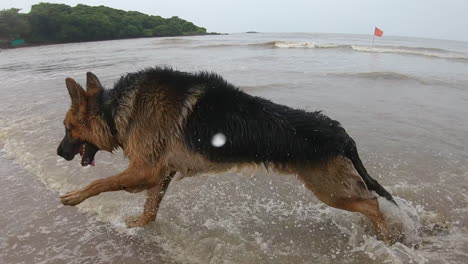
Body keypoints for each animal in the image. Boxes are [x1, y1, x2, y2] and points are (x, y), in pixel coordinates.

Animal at [56, 67, 396, 243]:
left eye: (67, 128)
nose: (58, 153)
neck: (112, 108)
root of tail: (339, 132)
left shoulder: (145, 170)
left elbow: (101, 183)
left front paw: (74, 196)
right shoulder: (161, 173)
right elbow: (150, 208)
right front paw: (140, 227)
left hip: (329, 190)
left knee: (372, 203)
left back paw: (387, 237)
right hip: (331, 188)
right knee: (369, 201)